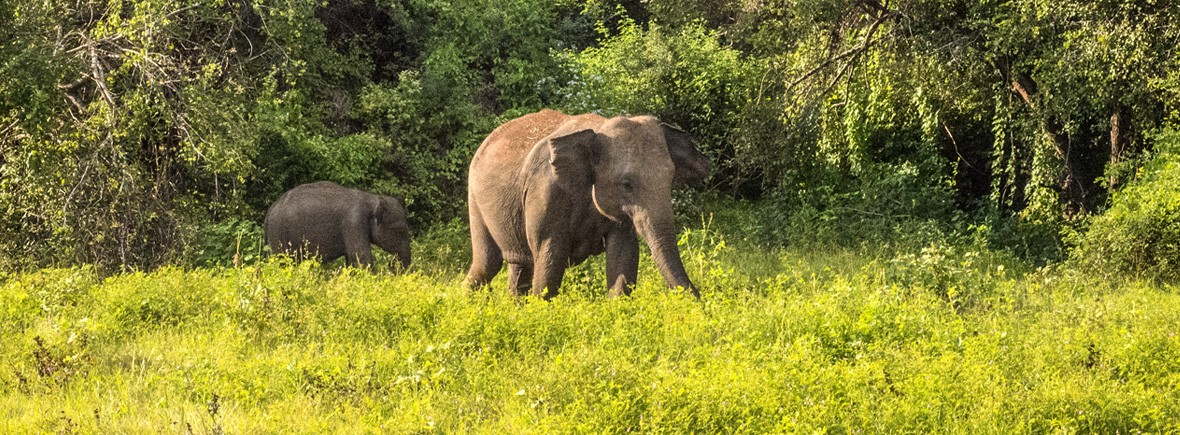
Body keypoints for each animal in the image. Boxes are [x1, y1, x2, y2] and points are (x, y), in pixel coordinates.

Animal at [265, 179, 412, 267]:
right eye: (400, 230)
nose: (393, 266)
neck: (373, 198)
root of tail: (270, 210)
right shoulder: (354, 221)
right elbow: (361, 256)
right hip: (278, 232)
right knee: (282, 260)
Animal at [467, 108, 707, 298]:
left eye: (671, 180)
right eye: (626, 184)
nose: (700, 301)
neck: (598, 130)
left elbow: (623, 255)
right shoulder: (545, 191)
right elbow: (550, 258)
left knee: (519, 267)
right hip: (474, 199)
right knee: (487, 265)